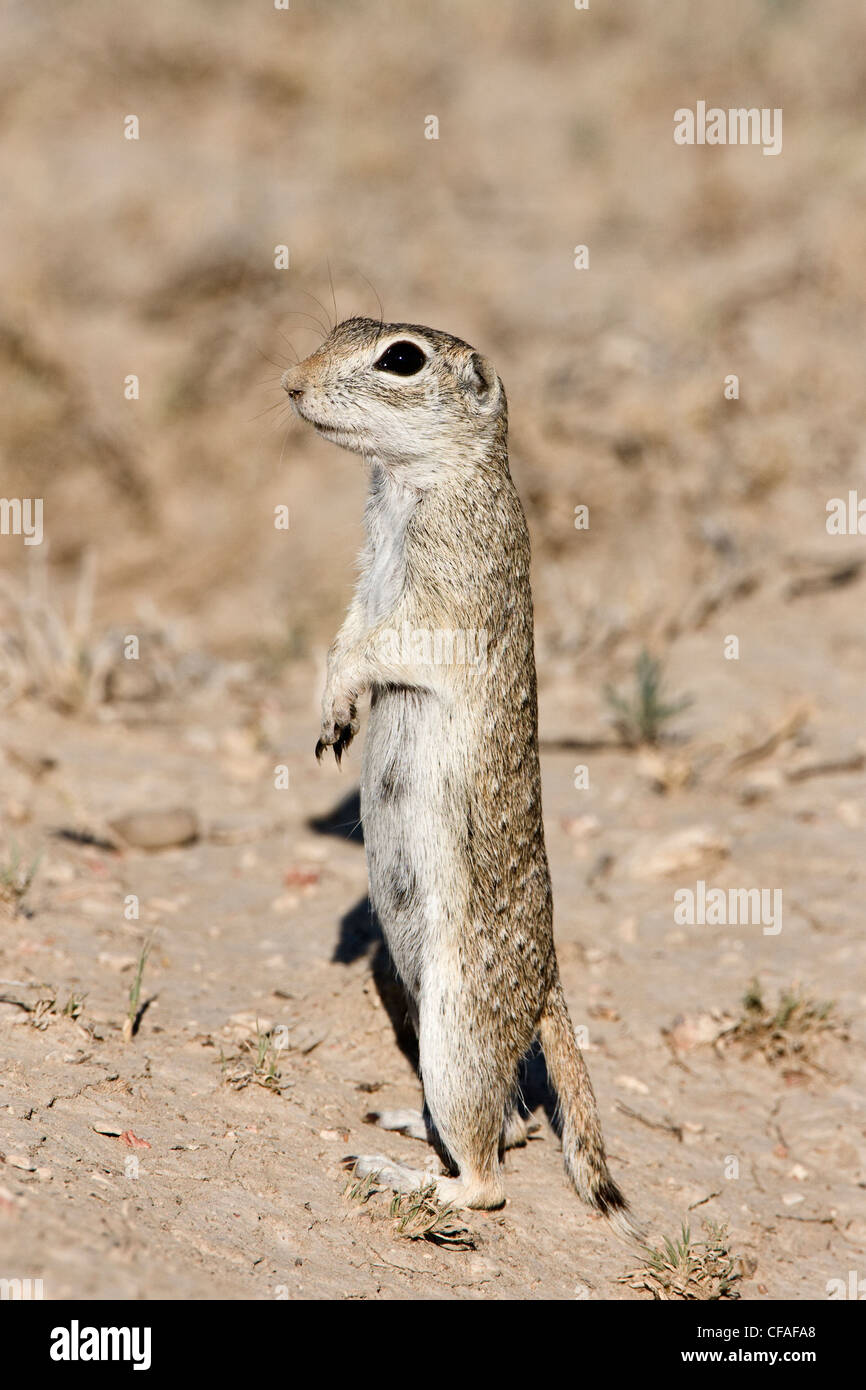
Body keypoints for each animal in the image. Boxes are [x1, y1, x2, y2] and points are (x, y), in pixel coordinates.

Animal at [283, 319, 636, 1234]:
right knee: (512, 1124)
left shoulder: (446, 593)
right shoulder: (365, 579)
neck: (415, 483)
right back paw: (409, 1124)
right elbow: (348, 627)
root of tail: (545, 986)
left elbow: (377, 644)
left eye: (401, 358)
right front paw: (332, 715)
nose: (291, 384)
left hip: (459, 1028)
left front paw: (338, 693)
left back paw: (402, 1174)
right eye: (340, 328)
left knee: (491, 1176)